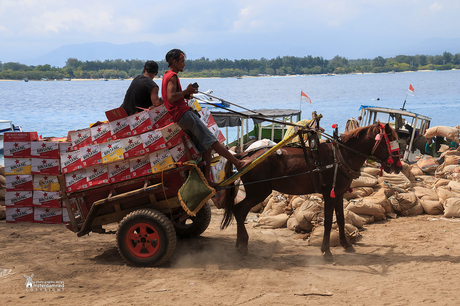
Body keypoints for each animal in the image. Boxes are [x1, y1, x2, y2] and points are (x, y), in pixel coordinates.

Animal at [221, 122, 400, 260]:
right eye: (390, 141)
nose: (397, 166)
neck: (340, 155)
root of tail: (243, 156)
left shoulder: (339, 194)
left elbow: (341, 220)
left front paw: (346, 244)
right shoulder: (329, 194)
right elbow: (328, 221)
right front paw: (326, 251)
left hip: (256, 192)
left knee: (240, 212)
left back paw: (240, 243)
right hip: (258, 191)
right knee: (239, 210)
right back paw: (242, 244)